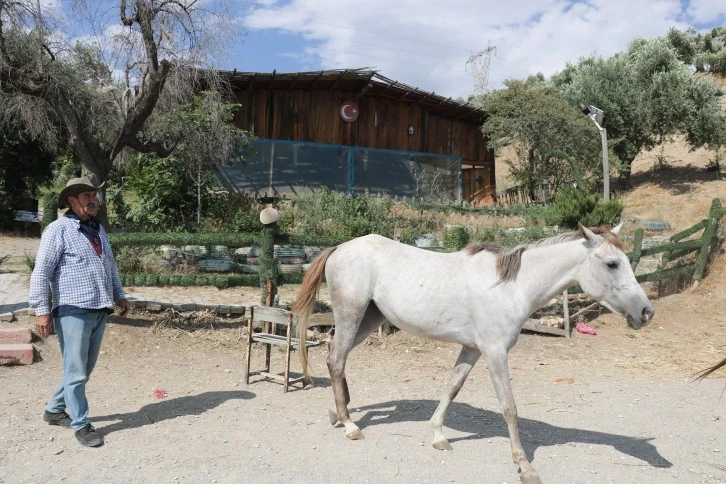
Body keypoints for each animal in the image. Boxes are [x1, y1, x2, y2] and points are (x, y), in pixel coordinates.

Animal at [292, 225, 656, 482]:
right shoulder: (495, 352)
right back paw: (350, 425)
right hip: (352, 315)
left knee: (335, 356)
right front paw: (524, 467)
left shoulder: (472, 350)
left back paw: (337, 413)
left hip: (369, 319)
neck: (511, 287)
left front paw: (439, 435)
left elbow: (452, 388)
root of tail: (340, 248)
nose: (646, 312)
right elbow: (509, 407)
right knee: (336, 360)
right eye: (612, 263)